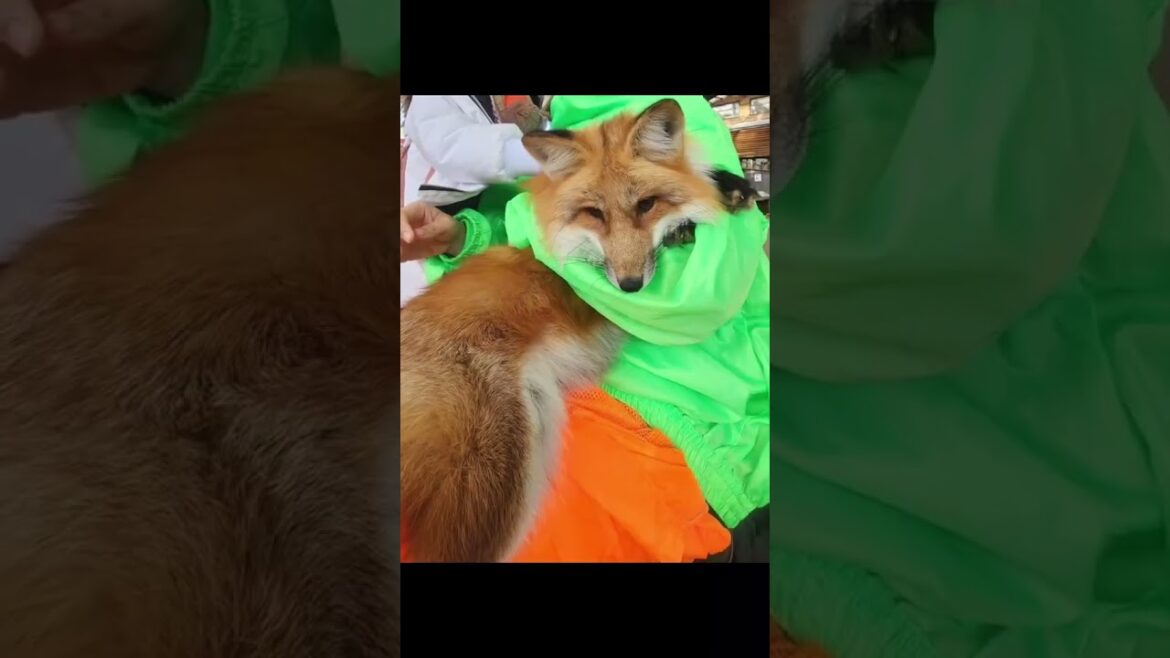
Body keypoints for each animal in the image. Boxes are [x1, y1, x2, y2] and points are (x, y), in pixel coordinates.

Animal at [399, 98, 759, 563]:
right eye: (595, 214)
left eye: (647, 205)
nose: (630, 285)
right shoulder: (590, 292)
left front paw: (725, 185)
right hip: (492, 484)